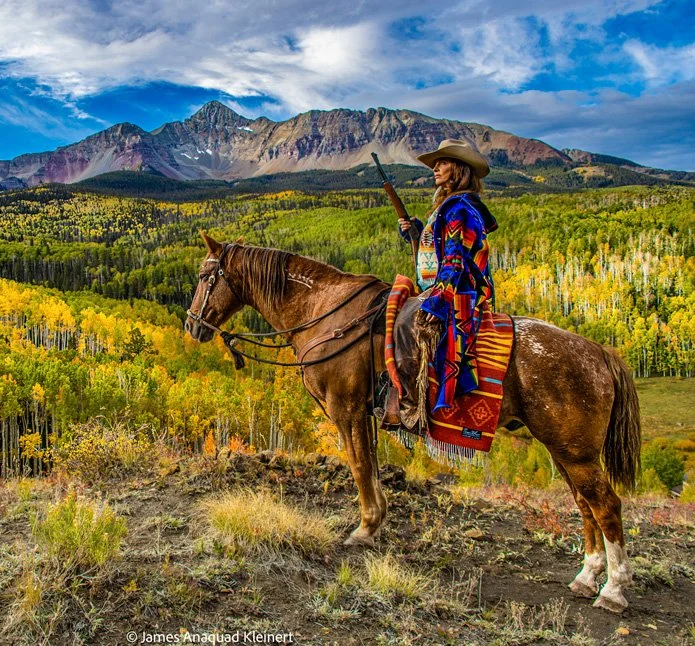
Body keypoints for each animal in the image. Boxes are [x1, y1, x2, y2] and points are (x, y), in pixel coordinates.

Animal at [185, 233, 641, 614]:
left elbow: (360, 467)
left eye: (206, 276)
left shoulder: (345, 409)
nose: (191, 324)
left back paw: (613, 591)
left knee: (606, 505)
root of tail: (601, 352)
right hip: (564, 450)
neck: (324, 315)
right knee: (584, 504)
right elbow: (370, 467)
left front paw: (365, 529)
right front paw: (376, 524)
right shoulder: (362, 414)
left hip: (575, 452)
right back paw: (586, 577)